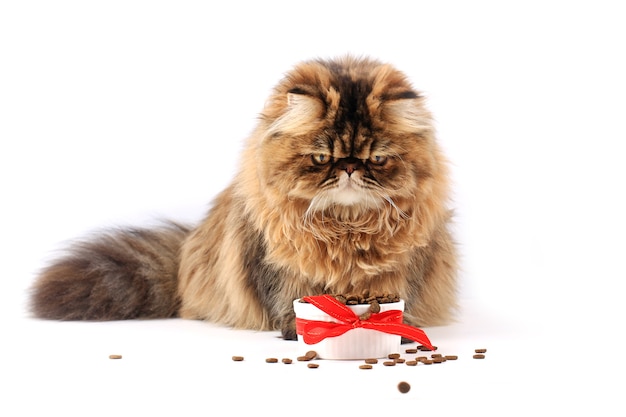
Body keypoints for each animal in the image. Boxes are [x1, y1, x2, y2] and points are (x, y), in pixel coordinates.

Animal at [29, 55, 456, 340]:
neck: (346, 227)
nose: (350, 168)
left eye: (377, 159)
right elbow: (290, 301)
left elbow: (399, 301)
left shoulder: (406, 270)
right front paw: (298, 330)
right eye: (321, 158)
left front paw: (396, 328)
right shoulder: (275, 268)